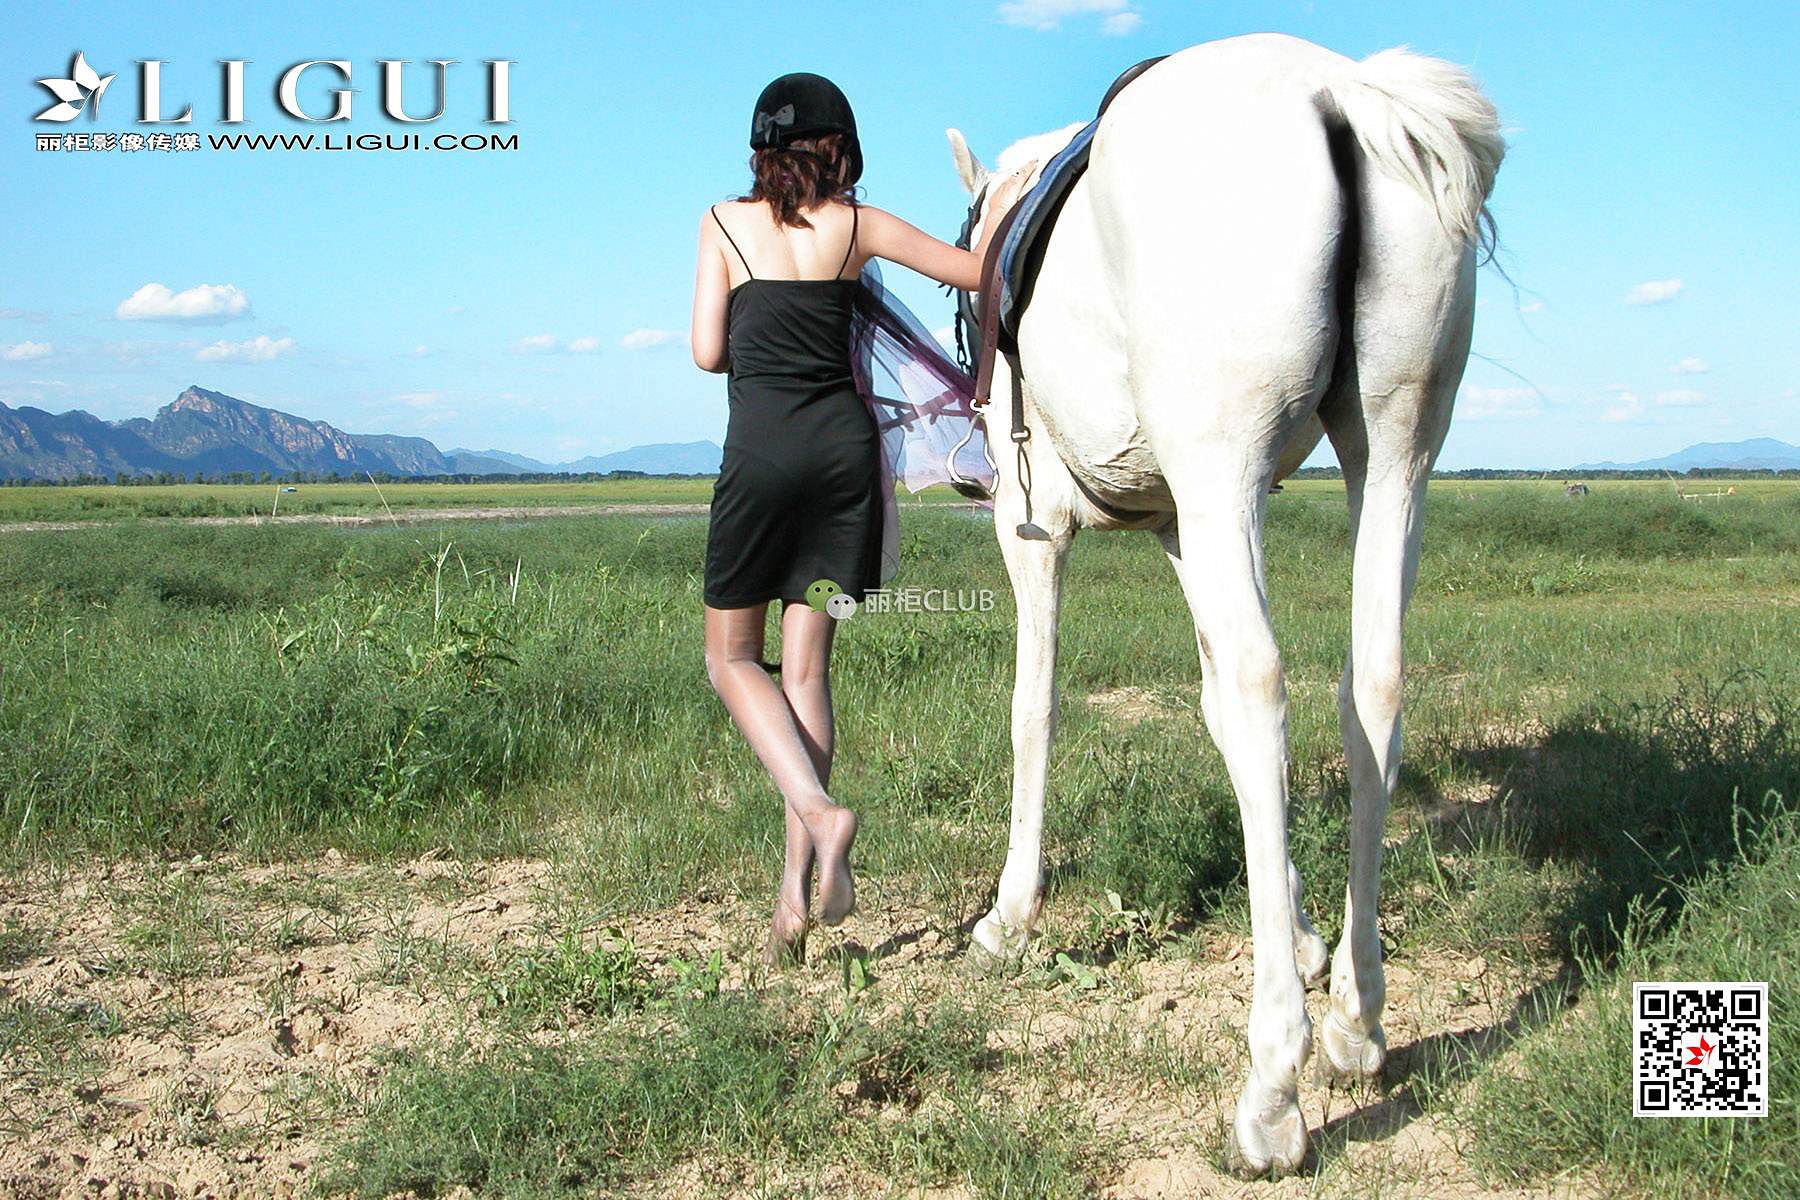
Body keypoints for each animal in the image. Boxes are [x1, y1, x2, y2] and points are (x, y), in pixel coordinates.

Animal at [945, 33, 1503, 1176]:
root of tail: (1342, 92)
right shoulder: (1179, 530)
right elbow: (1209, 713)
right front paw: (1296, 927)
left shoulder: (1038, 533)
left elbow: (1037, 709)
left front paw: (1011, 915)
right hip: (1393, 454)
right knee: (1370, 689)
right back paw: (1356, 1020)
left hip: (1227, 466)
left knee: (1261, 688)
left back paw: (1273, 1088)